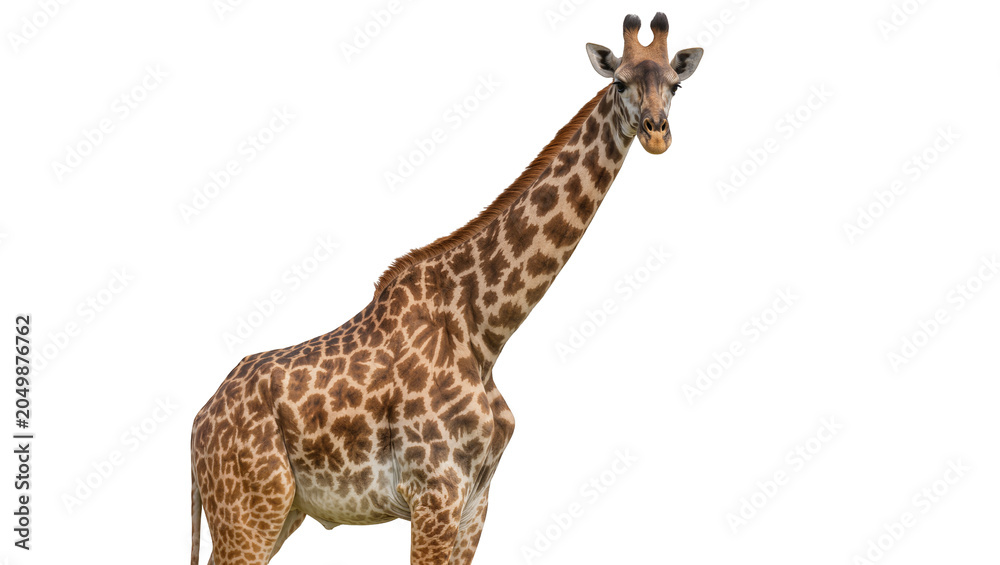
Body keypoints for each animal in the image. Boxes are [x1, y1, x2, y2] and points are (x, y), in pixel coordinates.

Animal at [191, 12, 702, 565]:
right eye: (619, 82)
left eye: (675, 85)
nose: (656, 133)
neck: (485, 332)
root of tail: (198, 423)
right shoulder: (434, 491)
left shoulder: (476, 497)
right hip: (249, 508)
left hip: (279, 511)